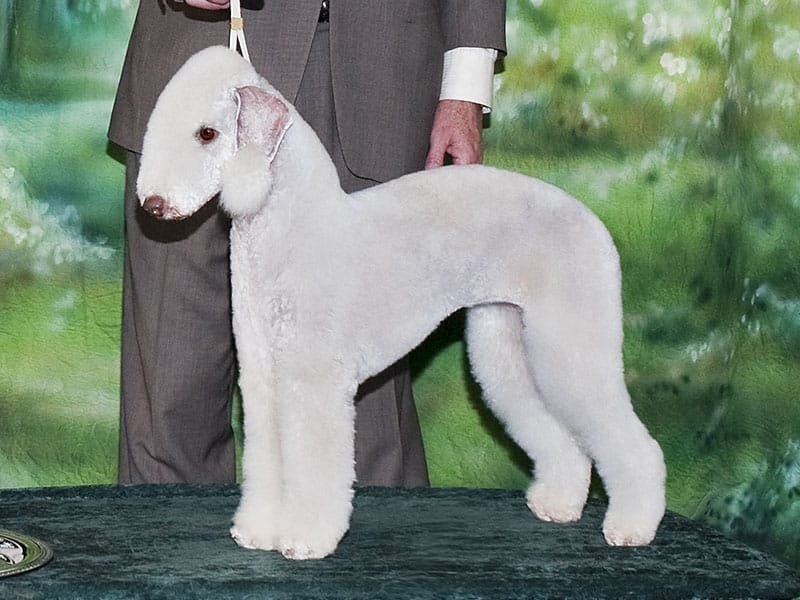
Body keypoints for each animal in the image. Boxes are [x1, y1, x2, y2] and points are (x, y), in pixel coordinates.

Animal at [139, 48, 668, 564]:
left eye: (207, 133)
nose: (153, 205)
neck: (292, 224)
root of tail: (592, 220)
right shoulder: (264, 371)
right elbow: (269, 456)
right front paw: (259, 530)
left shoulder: (314, 376)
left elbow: (313, 459)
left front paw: (306, 538)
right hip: (508, 345)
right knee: (561, 434)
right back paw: (559, 503)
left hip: (571, 341)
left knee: (630, 441)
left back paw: (632, 526)